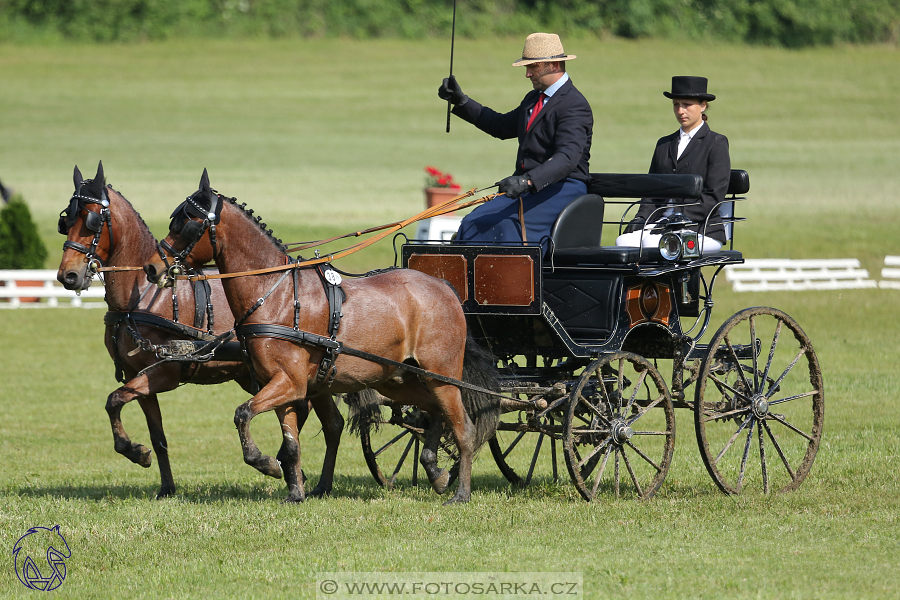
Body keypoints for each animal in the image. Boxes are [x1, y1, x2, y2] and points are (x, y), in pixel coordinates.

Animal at [52, 162, 328, 500]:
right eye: (66, 220)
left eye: (92, 221)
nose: (68, 276)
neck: (141, 296)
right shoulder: (137, 376)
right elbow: (154, 434)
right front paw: (164, 484)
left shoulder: (164, 373)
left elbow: (114, 399)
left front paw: (134, 451)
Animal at [144, 171, 502, 504]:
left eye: (186, 225)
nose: (151, 269)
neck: (276, 294)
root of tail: (444, 287)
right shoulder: (283, 385)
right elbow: (291, 444)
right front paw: (294, 491)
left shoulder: (289, 383)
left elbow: (243, 414)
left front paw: (265, 463)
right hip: (400, 379)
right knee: (433, 412)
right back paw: (436, 471)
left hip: (440, 376)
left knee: (464, 428)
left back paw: (461, 492)